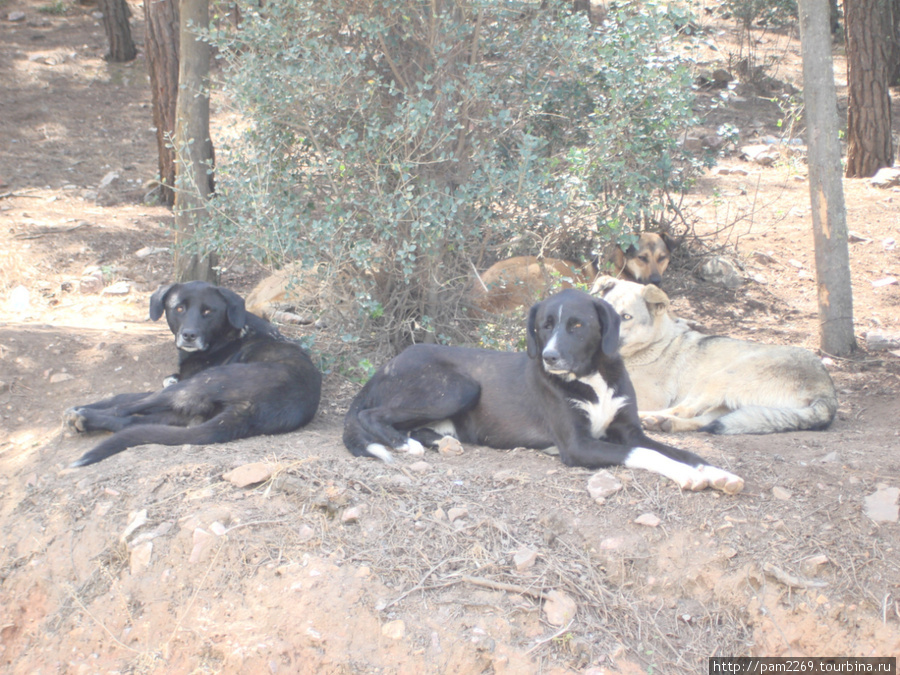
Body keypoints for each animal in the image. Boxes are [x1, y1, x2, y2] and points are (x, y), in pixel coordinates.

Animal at [65, 282, 324, 468]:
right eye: (179, 308)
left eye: (208, 311)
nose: (189, 335)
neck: (228, 335)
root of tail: (254, 410)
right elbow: (124, 395)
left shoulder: (182, 382)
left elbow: (125, 399)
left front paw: (82, 408)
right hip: (189, 408)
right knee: (131, 422)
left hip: (203, 382)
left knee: (127, 410)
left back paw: (83, 417)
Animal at [342, 288, 740, 494]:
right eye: (544, 326)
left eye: (577, 326)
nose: (549, 357)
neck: (591, 377)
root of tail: (387, 365)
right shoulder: (578, 446)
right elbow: (645, 454)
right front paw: (689, 476)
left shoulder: (630, 430)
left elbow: (679, 450)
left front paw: (718, 472)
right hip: (457, 387)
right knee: (370, 415)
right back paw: (403, 444)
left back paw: (441, 442)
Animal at [596, 278, 840, 436]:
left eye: (626, 317)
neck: (652, 346)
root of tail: (827, 391)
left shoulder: (649, 396)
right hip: (728, 403)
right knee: (701, 420)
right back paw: (663, 424)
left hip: (717, 378)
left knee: (682, 409)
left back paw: (652, 419)